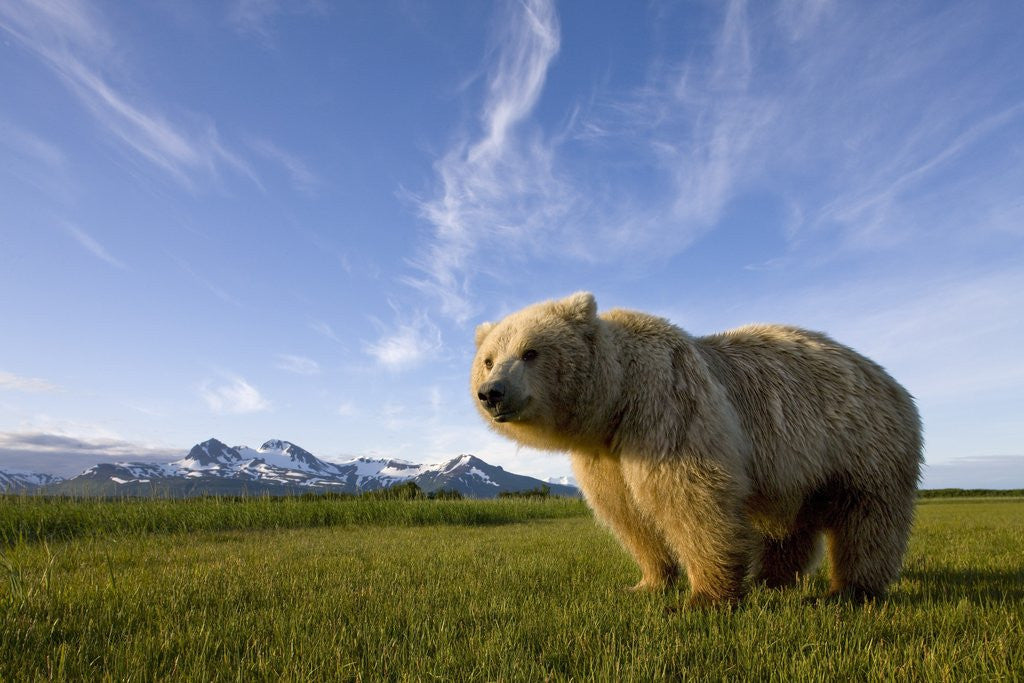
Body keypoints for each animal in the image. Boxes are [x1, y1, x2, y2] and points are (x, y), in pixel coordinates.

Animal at [471, 292, 922, 607]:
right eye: (489, 359)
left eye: (530, 351)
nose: (492, 393)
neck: (615, 403)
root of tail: (891, 381)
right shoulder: (604, 455)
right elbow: (628, 513)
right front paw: (646, 582)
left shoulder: (667, 406)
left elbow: (690, 498)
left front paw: (705, 596)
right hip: (799, 469)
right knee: (790, 525)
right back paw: (773, 579)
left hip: (861, 444)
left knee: (867, 520)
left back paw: (850, 590)